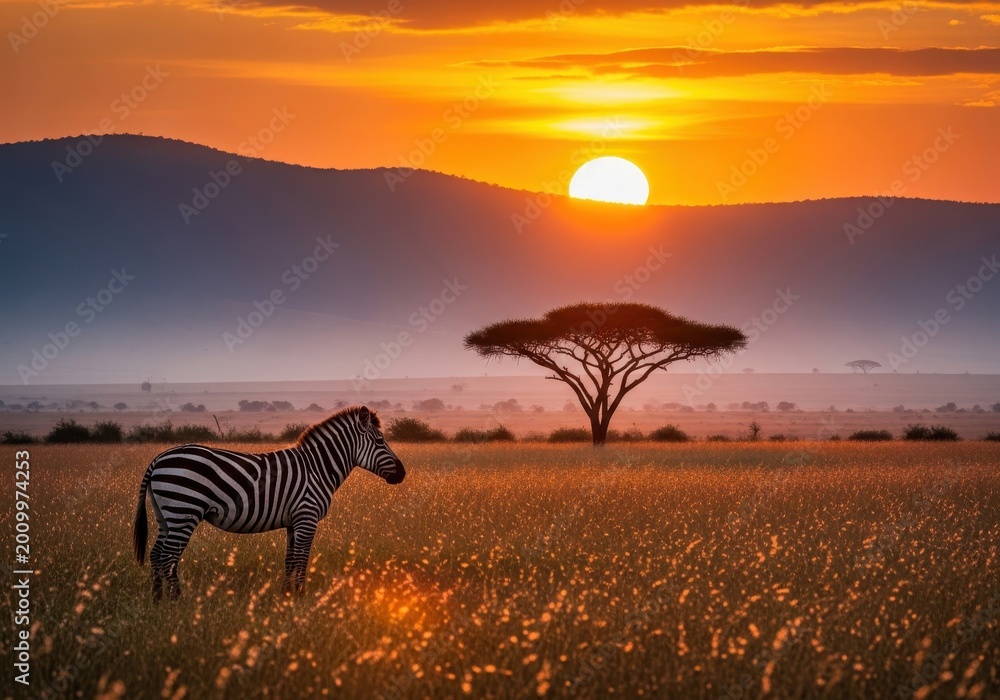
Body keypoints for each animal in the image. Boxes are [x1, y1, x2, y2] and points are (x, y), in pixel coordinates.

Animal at [132, 405, 405, 599]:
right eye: (380, 442)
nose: (403, 474)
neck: (317, 468)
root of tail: (159, 458)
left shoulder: (294, 522)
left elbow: (290, 559)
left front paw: (286, 595)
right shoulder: (307, 516)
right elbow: (302, 558)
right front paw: (301, 597)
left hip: (166, 514)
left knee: (157, 554)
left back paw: (158, 599)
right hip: (184, 509)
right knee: (168, 556)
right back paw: (177, 601)